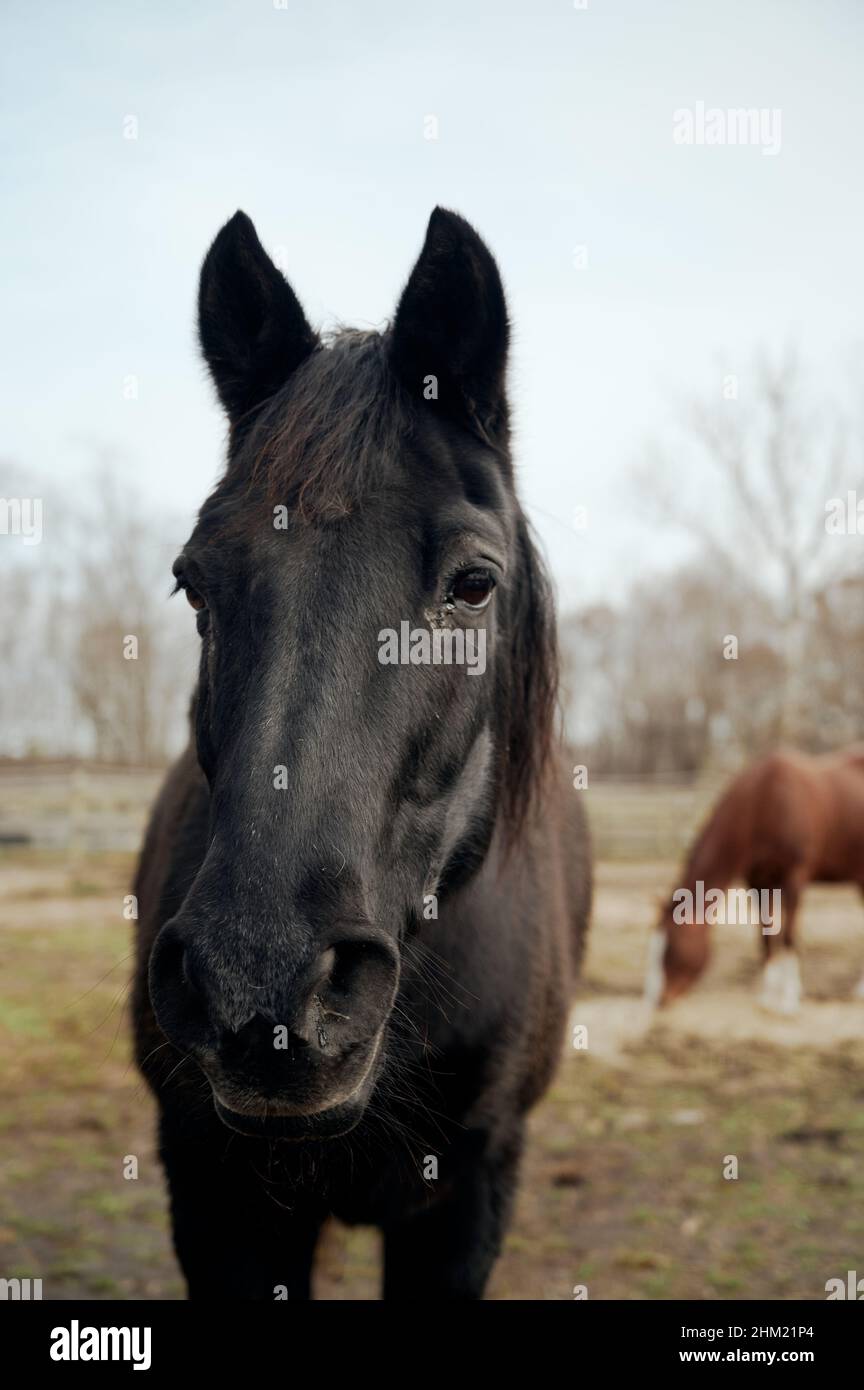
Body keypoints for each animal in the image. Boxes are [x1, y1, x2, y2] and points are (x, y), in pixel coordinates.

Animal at [645, 746, 864, 1014]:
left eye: (672, 947)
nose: (657, 1000)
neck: (765, 802)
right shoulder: (758, 883)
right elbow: (766, 936)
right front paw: (768, 998)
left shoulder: (794, 878)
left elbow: (788, 936)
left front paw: (788, 1000)